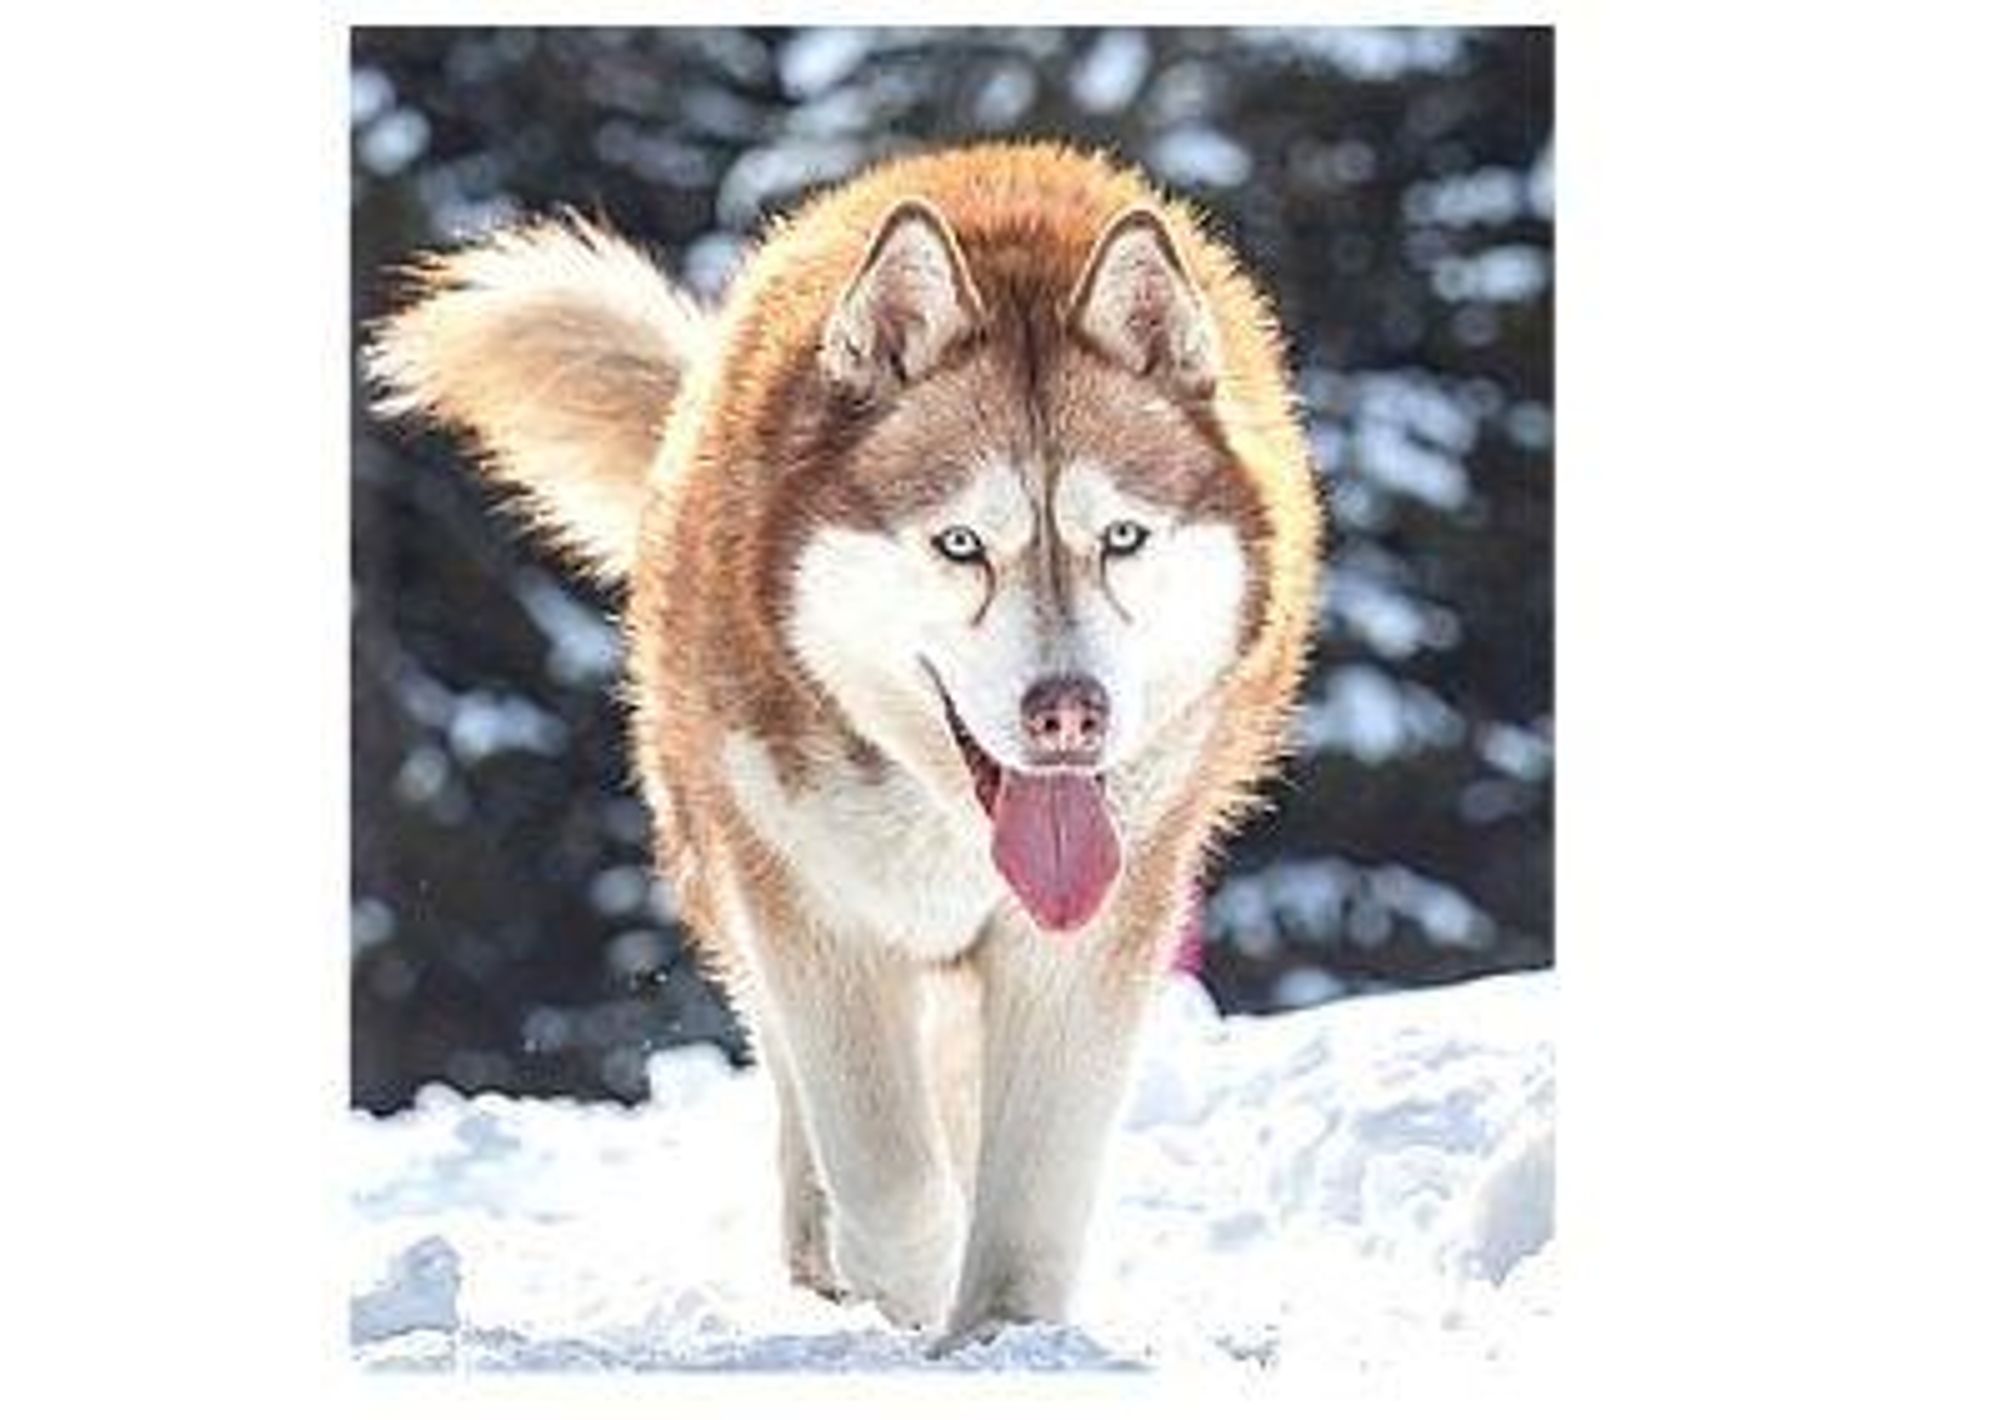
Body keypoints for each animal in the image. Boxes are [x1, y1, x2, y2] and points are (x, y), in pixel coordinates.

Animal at [368, 142, 1320, 1344]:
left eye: (1121, 538)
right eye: (959, 545)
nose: (1070, 711)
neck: (941, 810)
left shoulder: (1097, 925)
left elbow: (1032, 1185)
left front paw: (1003, 1336)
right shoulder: (810, 905)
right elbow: (888, 1174)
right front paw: (903, 1293)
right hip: (725, 859)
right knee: (798, 1081)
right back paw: (820, 1247)